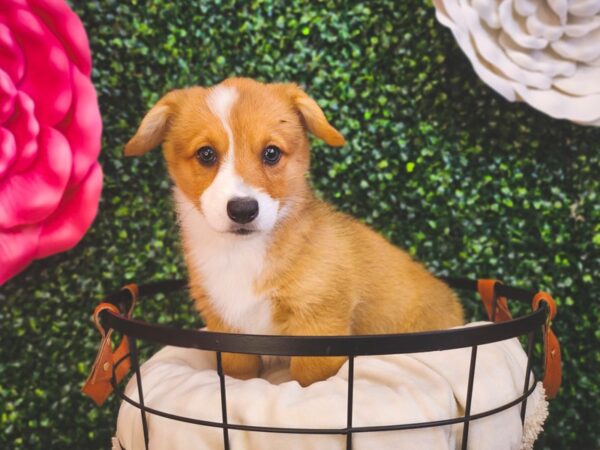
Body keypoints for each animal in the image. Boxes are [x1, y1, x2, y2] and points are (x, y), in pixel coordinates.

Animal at [125, 77, 464, 386]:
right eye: (206, 154)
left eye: (271, 153)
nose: (243, 210)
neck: (242, 253)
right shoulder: (226, 327)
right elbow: (239, 374)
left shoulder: (319, 322)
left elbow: (307, 378)